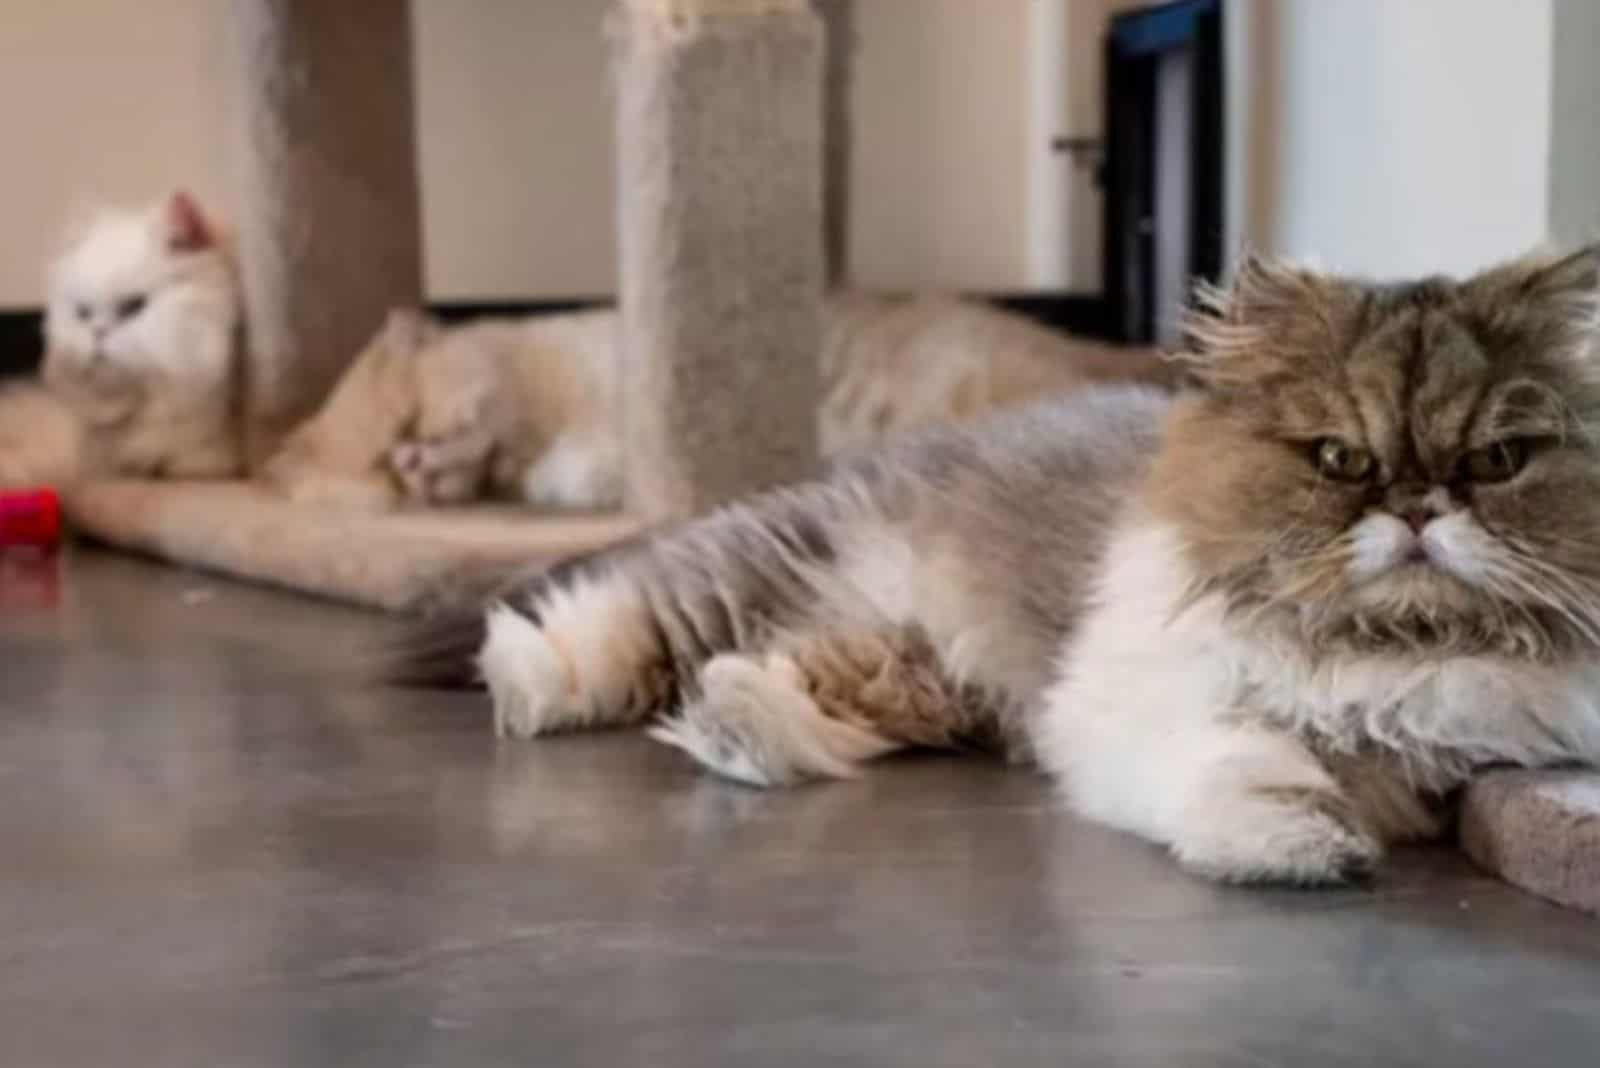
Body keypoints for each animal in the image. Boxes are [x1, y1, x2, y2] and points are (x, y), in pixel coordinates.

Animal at [393, 247, 1600, 882]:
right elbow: (1248, 760)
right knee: (605, 625)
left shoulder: (1447, 759)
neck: (1381, 642)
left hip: (903, 673)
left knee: (758, 688)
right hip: (744, 578)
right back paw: (532, 687)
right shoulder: (1146, 702)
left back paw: (737, 728)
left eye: (1495, 462)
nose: (1419, 508)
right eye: (1342, 460)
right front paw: (1294, 845)